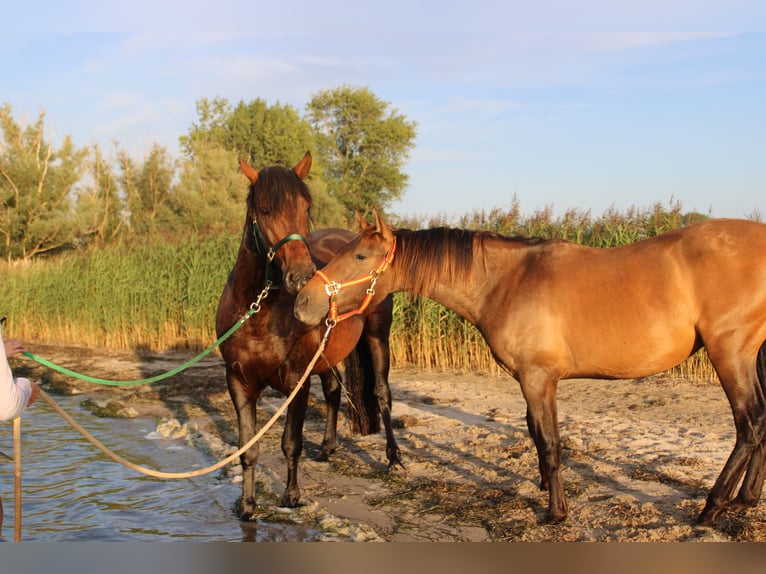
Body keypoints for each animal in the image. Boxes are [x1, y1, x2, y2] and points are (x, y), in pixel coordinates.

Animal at [213, 156, 400, 520]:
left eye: (306, 207)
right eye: (265, 209)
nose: (300, 278)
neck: (259, 314)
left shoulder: (296, 381)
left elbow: (291, 442)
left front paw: (292, 496)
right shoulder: (238, 383)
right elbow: (248, 449)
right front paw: (247, 505)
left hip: (376, 336)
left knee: (382, 393)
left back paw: (394, 458)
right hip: (326, 354)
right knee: (332, 391)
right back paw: (327, 448)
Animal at [296, 209, 766, 528]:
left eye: (359, 256)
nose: (302, 300)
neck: (505, 281)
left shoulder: (538, 379)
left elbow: (550, 443)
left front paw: (556, 512)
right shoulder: (533, 380)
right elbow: (537, 436)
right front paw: (543, 489)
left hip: (730, 353)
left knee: (750, 425)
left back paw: (713, 508)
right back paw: (745, 500)